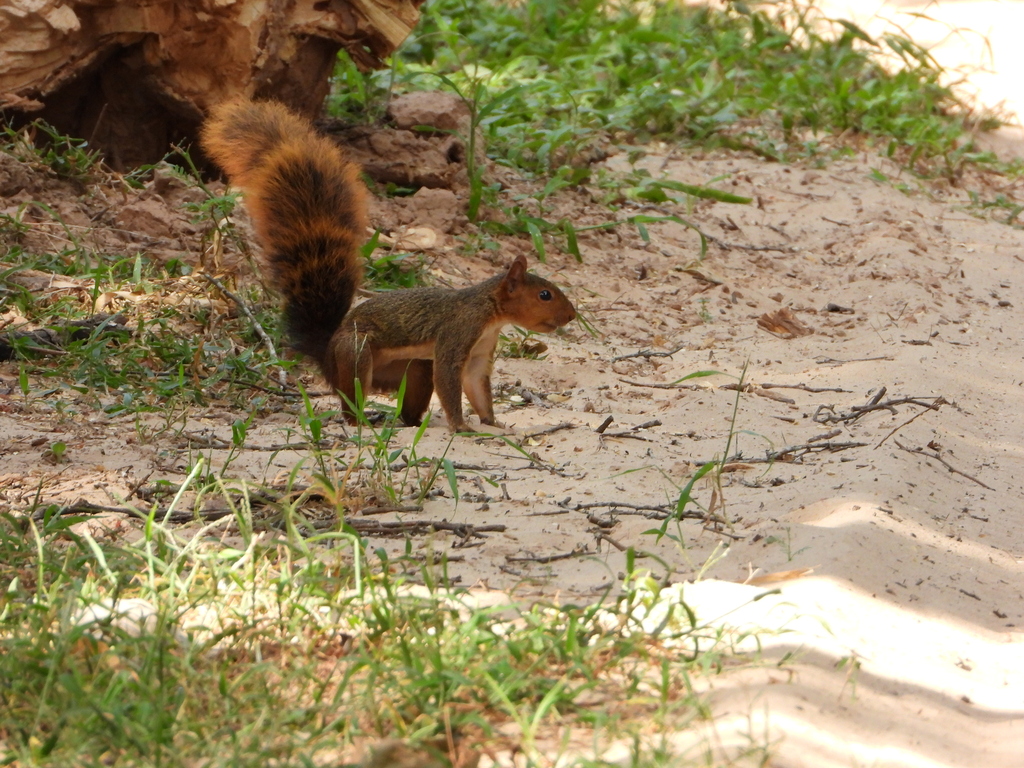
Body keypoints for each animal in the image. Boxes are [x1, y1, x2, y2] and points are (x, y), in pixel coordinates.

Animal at [199, 99, 577, 434]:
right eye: (544, 295)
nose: (572, 315)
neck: (489, 311)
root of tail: (328, 356)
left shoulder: (481, 351)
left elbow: (476, 387)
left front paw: (493, 423)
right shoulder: (458, 332)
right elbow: (450, 380)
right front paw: (460, 426)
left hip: (410, 369)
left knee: (411, 396)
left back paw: (406, 422)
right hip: (357, 355)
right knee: (350, 400)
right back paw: (362, 421)